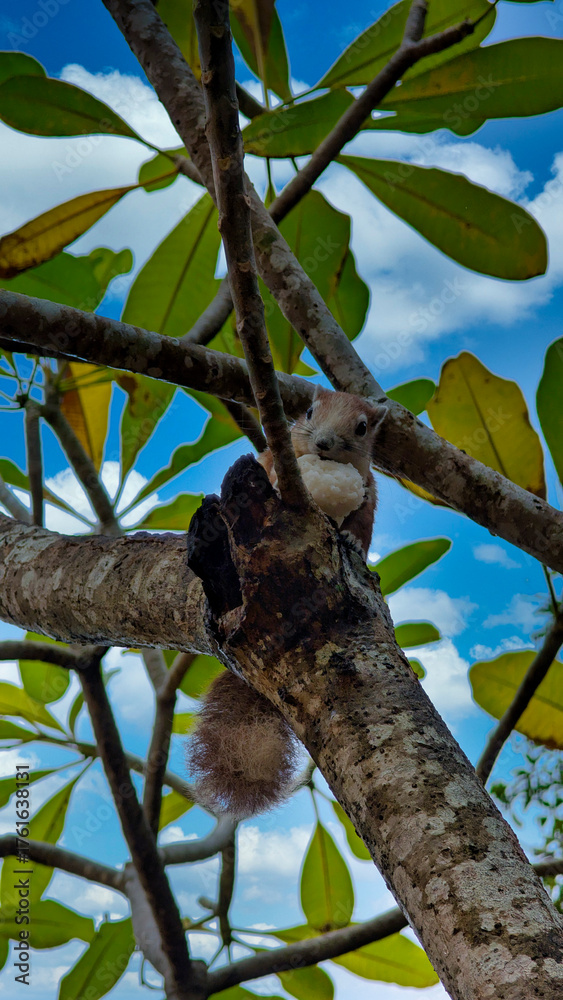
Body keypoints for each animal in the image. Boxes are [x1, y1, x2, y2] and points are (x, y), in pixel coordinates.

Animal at [185, 387, 382, 818]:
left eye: (362, 428)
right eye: (308, 411)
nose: (323, 442)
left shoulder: (368, 488)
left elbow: (363, 521)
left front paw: (352, 540)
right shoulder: (270, 458)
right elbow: (269, 467)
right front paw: (274, 482)